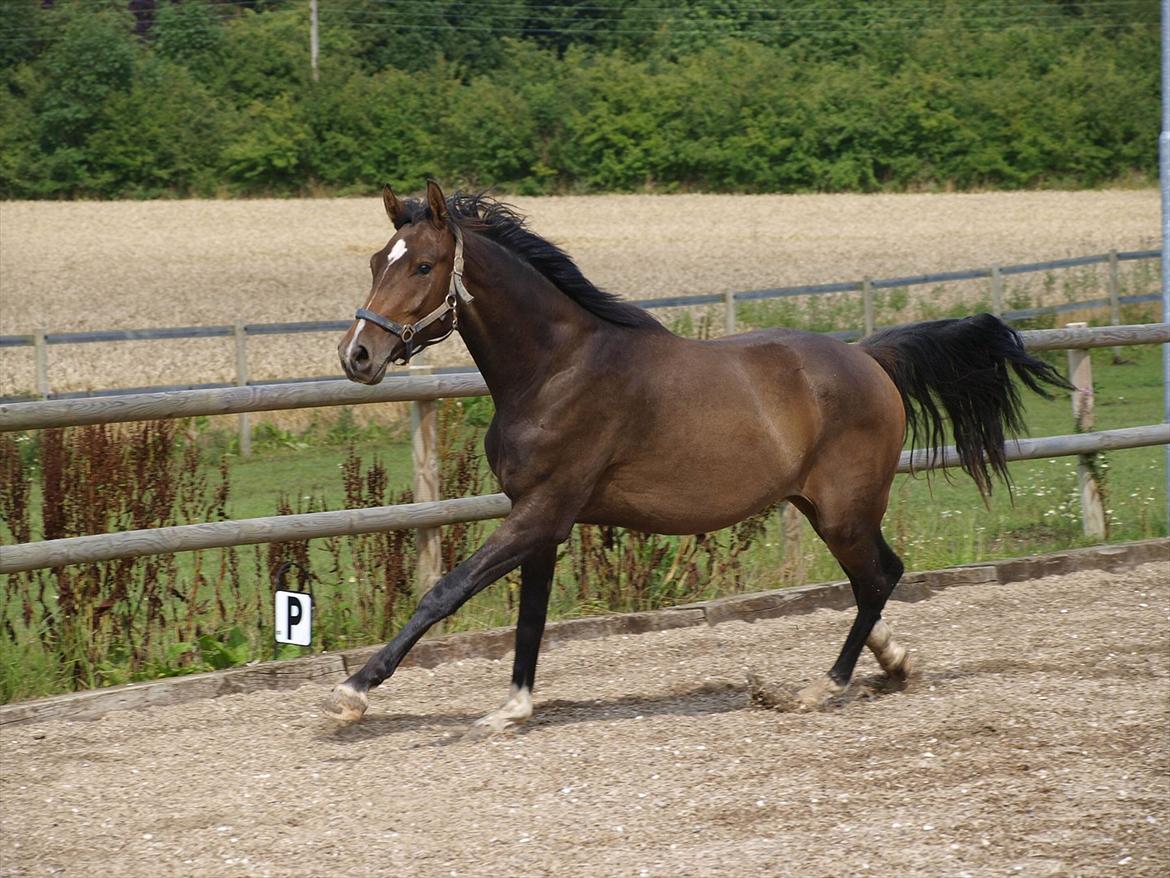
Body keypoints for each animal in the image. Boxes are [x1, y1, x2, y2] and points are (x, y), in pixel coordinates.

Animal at [327, 182, 1071, 730]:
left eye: (423, 265)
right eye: (375, 261)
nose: (356, 355)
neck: (555, 368)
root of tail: (869, 357)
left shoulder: (541, 511)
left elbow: (445, 592)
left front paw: (354, 690)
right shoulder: (541, 518)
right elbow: (530, 614)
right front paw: (513, 707)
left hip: (844, 509)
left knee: (880, 578)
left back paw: (820, 688)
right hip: (826, 508)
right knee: (876, 580)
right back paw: (894, 663)